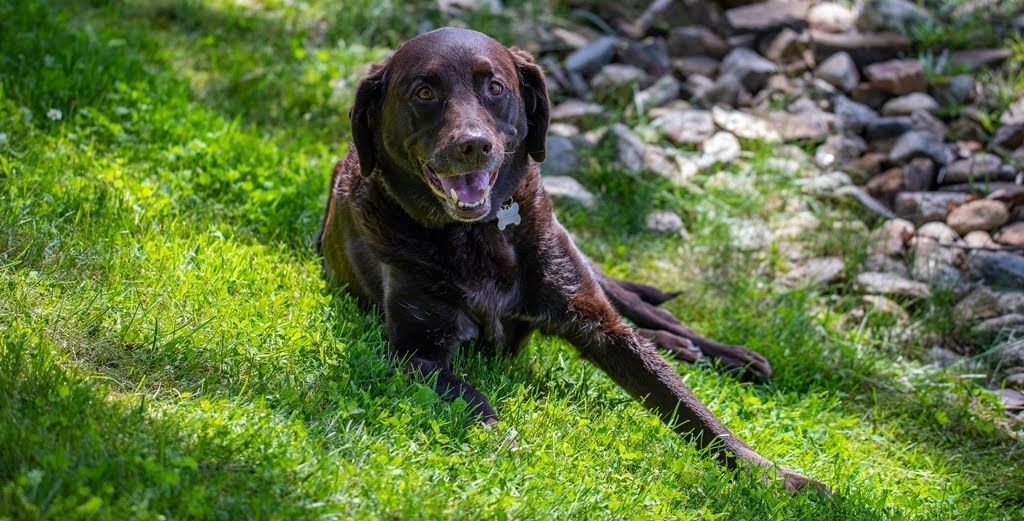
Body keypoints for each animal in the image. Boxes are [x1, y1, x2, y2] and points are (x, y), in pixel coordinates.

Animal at [317, 28, 823, 491]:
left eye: (494, 87)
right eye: (424, 92)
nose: (473, 145)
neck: (477, 236)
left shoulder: (597, 321)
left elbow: (691, 408)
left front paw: (778, 478)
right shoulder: (416, 353)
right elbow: (474, 400)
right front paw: (503, 441)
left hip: (592, 273)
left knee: (650, 316)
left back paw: (729, 355)